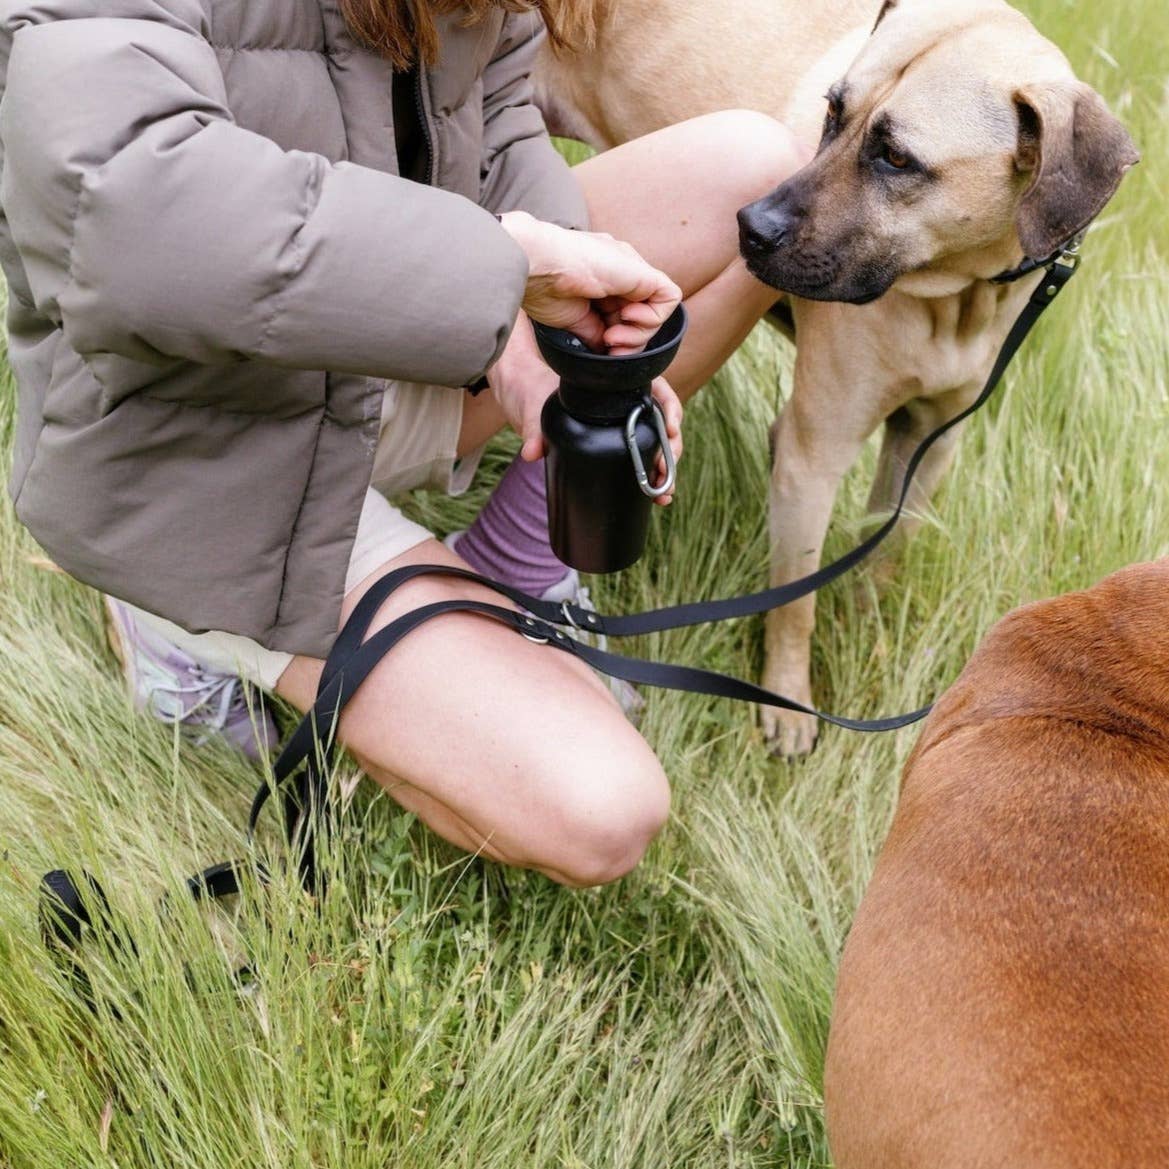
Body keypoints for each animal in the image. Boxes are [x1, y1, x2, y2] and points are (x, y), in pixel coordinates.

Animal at [535, 0, 1136, 752]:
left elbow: (882, 548)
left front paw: (865, 634)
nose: (749, 226)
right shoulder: (811, 456)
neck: (955, 294)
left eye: (897, 157)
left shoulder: (930, 440)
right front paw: (788, 703)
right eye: (832, 111)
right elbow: (794, 601)